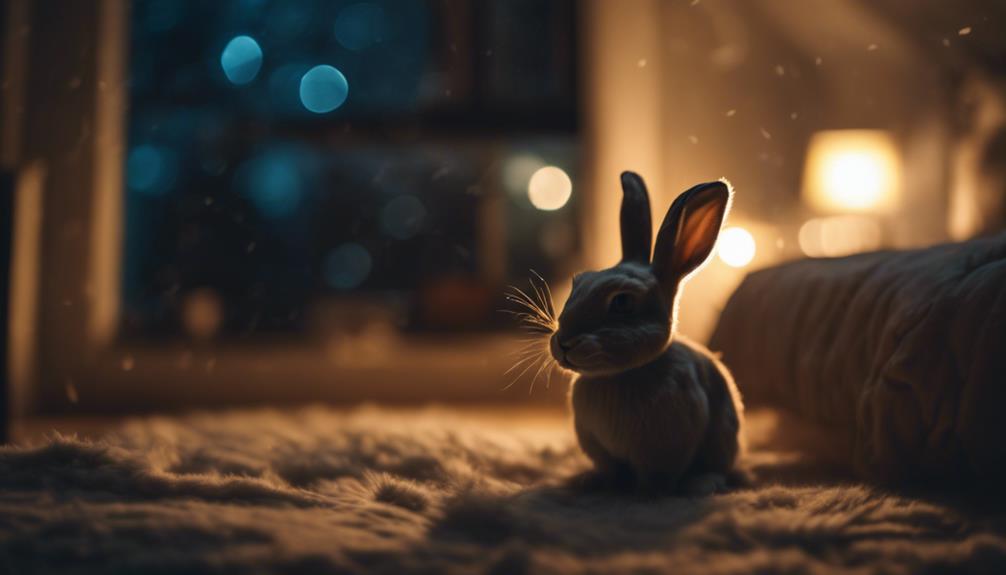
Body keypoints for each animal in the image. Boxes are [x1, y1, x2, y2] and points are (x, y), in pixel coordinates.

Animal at [549, 171, 745, 495]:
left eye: (622, 302)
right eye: (578, 283)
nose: (563, 343)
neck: (621, 374)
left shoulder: (663, 451)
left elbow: (656, 478)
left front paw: (644, 496)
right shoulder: (602, 451)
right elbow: (610, 471)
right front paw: (596, 484)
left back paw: (701, 484)